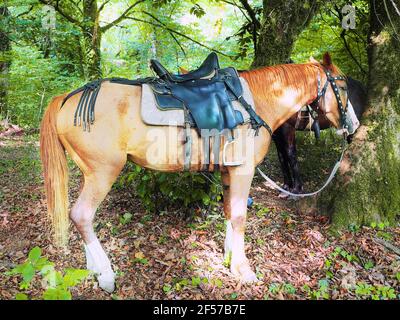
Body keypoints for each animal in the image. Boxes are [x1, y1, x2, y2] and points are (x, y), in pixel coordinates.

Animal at [39, 52, 356, 292]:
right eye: (342, 88)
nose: (353, 126)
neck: (255, 102)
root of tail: (67, 99)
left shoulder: (230, 170)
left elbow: (229, 212)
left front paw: (229, 256)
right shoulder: (243, 171)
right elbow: (239, 217)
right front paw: (243, 269)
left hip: (89, 173)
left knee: (79, 217)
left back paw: (92, 267)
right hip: (103, 173)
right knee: (82, 215)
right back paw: (105, 274)